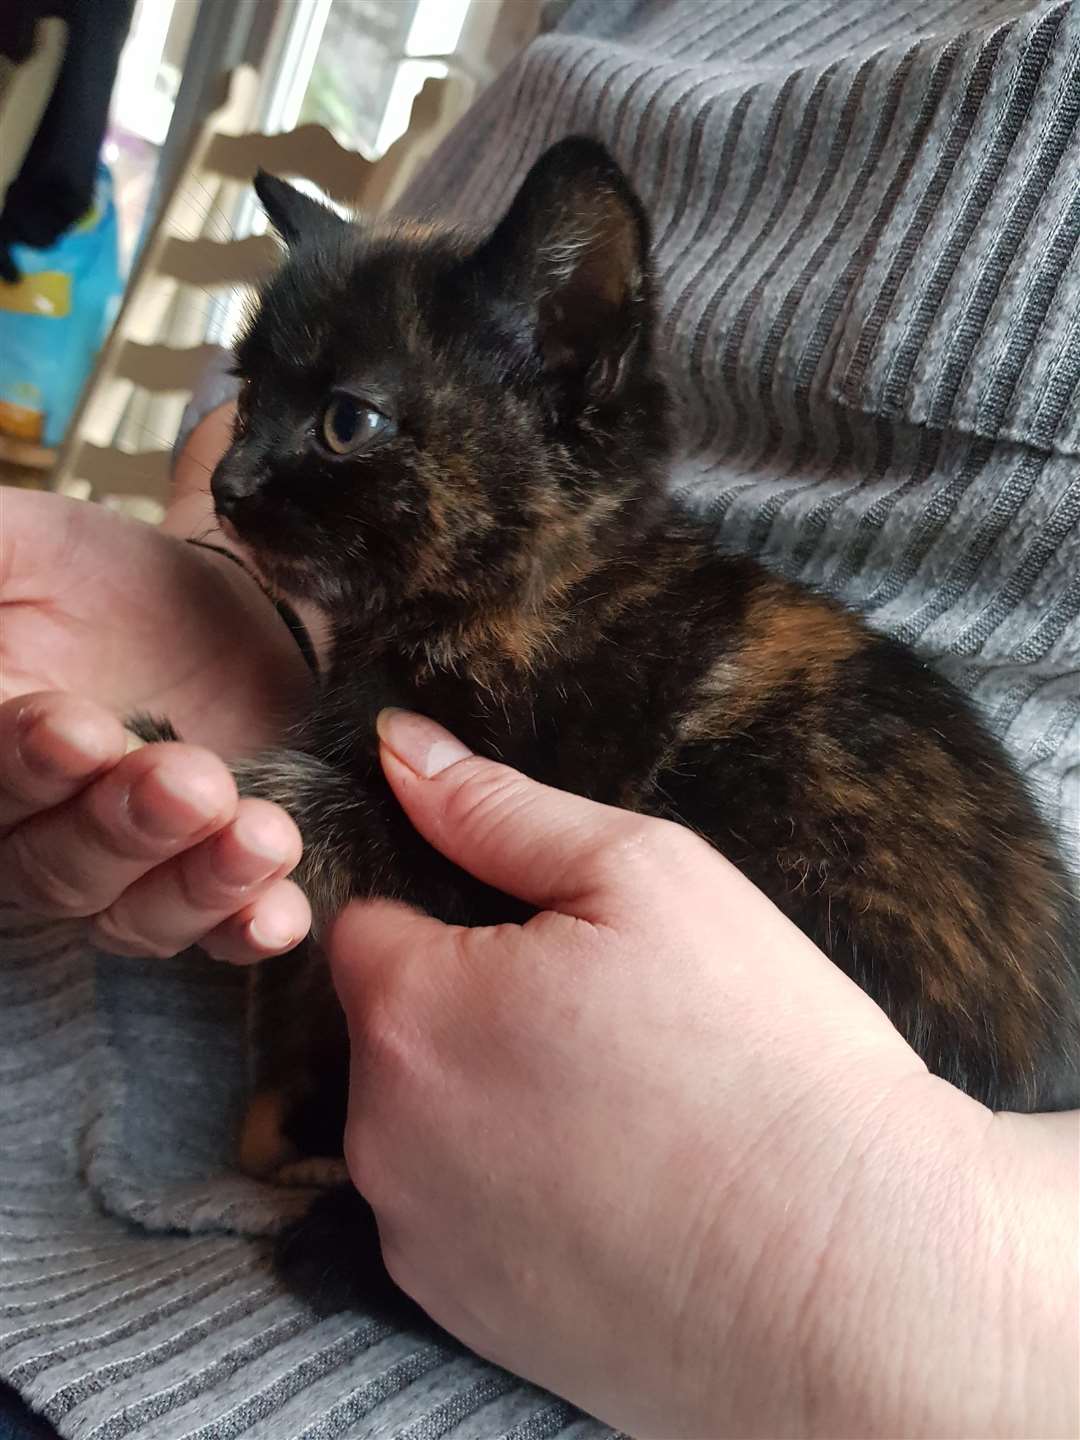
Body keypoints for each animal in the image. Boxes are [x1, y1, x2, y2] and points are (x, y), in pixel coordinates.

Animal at [146, 137, 1080, 1192]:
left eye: (349, 421)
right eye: (247, 397)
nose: (228, 483)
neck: (521, 602)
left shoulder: (489, 873)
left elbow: (355, 818)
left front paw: (229, 779)